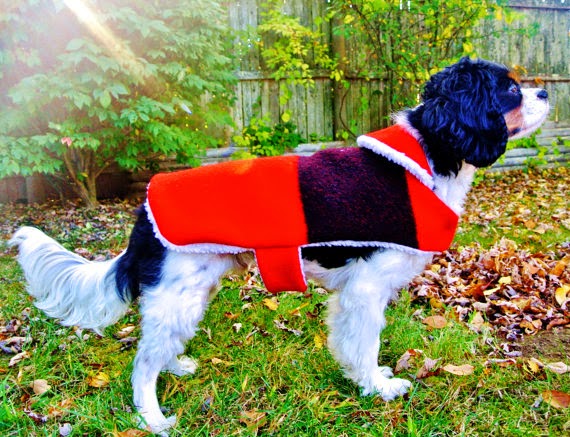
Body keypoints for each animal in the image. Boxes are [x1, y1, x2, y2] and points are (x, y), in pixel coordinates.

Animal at [9, 58, 549, 434]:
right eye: (509, 88)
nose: (546, 89)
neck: (430, 153)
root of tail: (144, 209)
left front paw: (365, 379)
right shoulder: (366, 288)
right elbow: (364, 343)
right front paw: (377, 387)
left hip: (191, 292)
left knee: (161, 347)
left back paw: (176, 367)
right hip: (177, 294)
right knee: (142, 364)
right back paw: (153, 419)